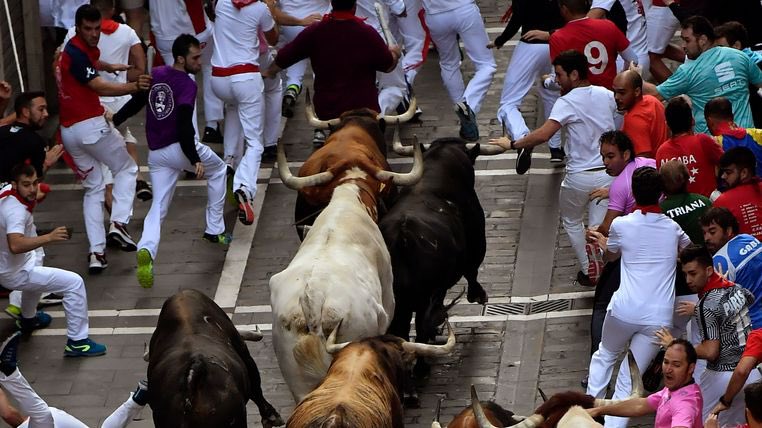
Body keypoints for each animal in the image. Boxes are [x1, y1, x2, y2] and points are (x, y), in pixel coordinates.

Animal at [380, 140, 486, 368]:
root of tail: (403, 235)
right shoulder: (477, 241)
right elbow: (472, 269)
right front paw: (477, 295)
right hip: (422, 298)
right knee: (419, 326)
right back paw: (422, 366)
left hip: (397, 302)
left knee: (402, 331)